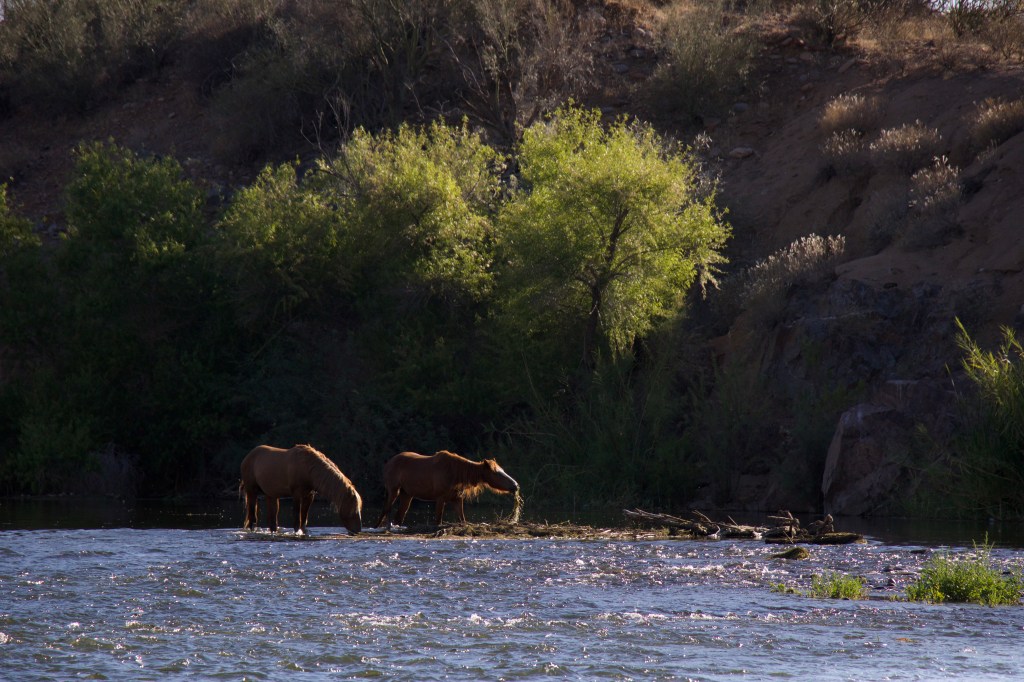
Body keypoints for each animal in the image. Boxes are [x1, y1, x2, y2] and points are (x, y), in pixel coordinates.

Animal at [375, 450, 519, 529]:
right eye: (496, 473)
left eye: (502, 470)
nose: (515, 485)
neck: (457, 476)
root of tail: (387, 464)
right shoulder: (440, 497)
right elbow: (438, 520)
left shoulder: (457, 499)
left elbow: (462, 519)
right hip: (394, 490)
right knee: (385, 510)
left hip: (407, 494)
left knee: (399, 516)